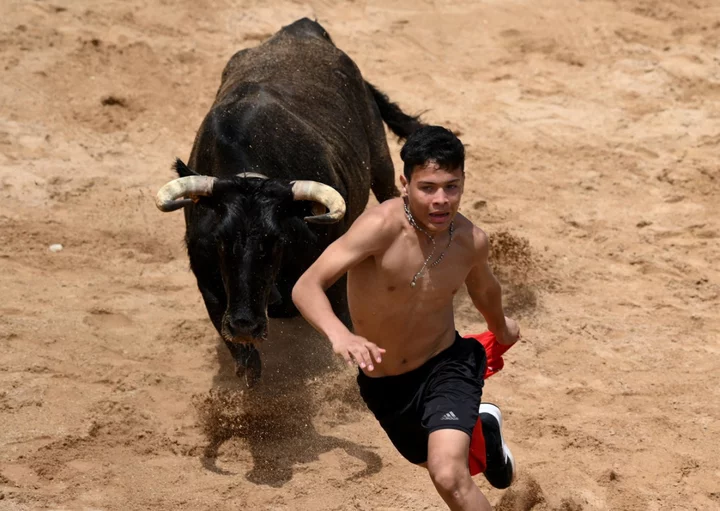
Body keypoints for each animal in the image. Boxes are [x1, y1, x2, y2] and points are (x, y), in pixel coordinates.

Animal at [153, 18, 422, 386]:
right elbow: (248, 363)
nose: (245, 324)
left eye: (275, 241)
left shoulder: (331, 276)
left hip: (380, 160)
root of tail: (301, 28)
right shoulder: (210, 285)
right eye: (220, 241)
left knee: (391, 195)